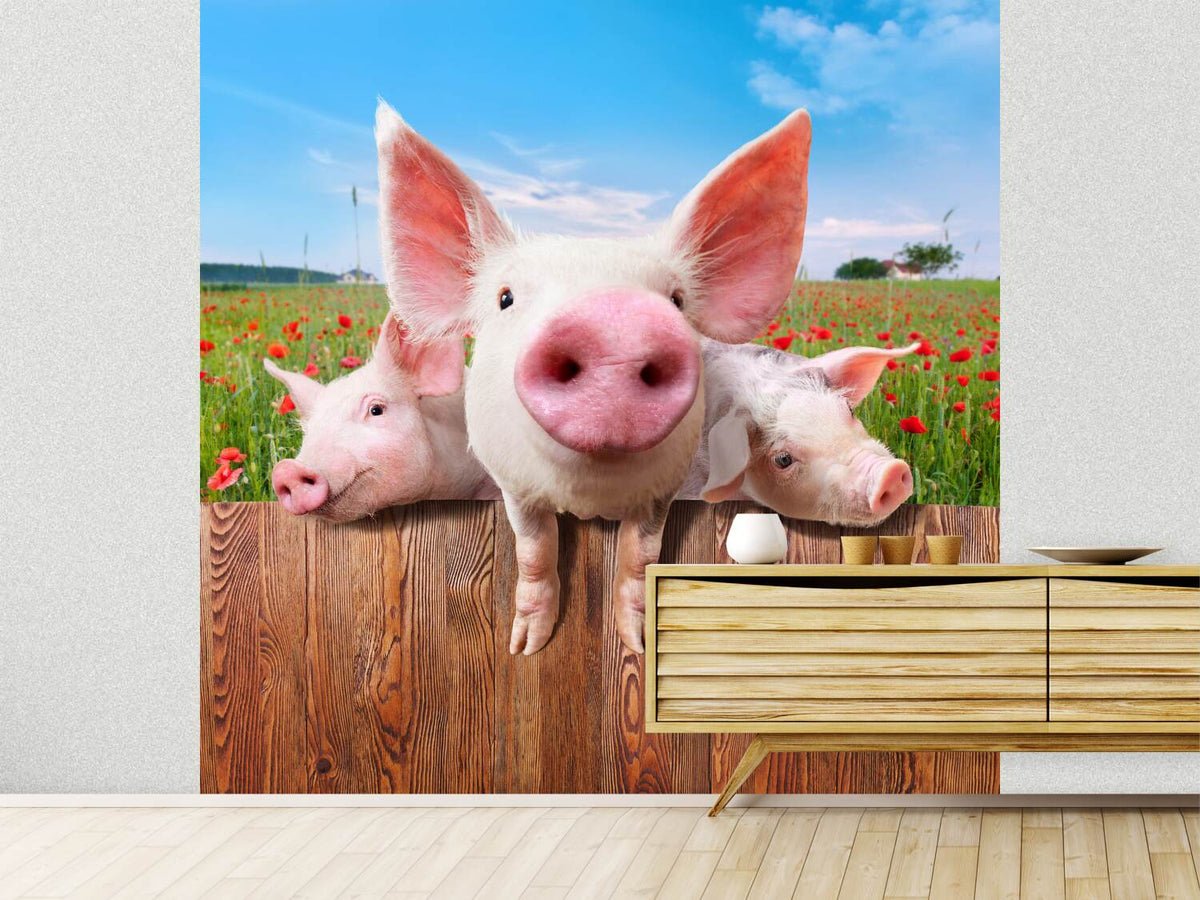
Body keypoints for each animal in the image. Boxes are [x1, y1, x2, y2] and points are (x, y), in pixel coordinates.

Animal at [374, 101, 811, 654]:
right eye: (505, 298)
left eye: (676, 300)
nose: (613, 319)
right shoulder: (513, 485)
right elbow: (534, 551)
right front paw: (525, 647)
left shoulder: (664, 490)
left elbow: (639, 557)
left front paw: (637, 644)